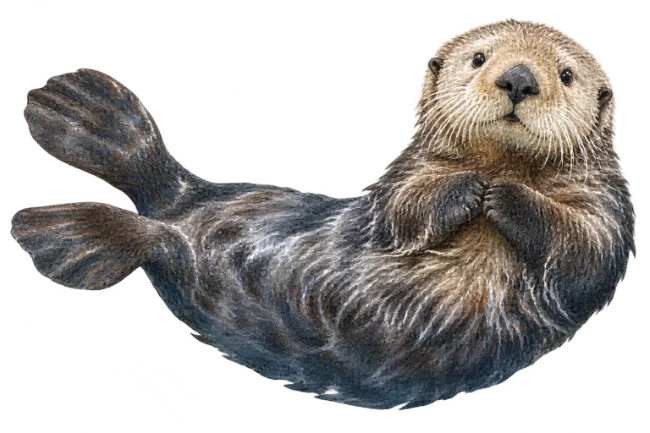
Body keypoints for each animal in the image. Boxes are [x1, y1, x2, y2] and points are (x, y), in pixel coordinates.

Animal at [11, 18, 634, 411]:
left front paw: (505, 198)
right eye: (480, 57)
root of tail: (179, 198)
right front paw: (469, 190)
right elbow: (401, 213)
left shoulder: (608, 210)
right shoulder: (403, 181)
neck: (505, 162)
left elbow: (586, 256)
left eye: (567, 75)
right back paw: (71, 121)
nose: (519, 78)